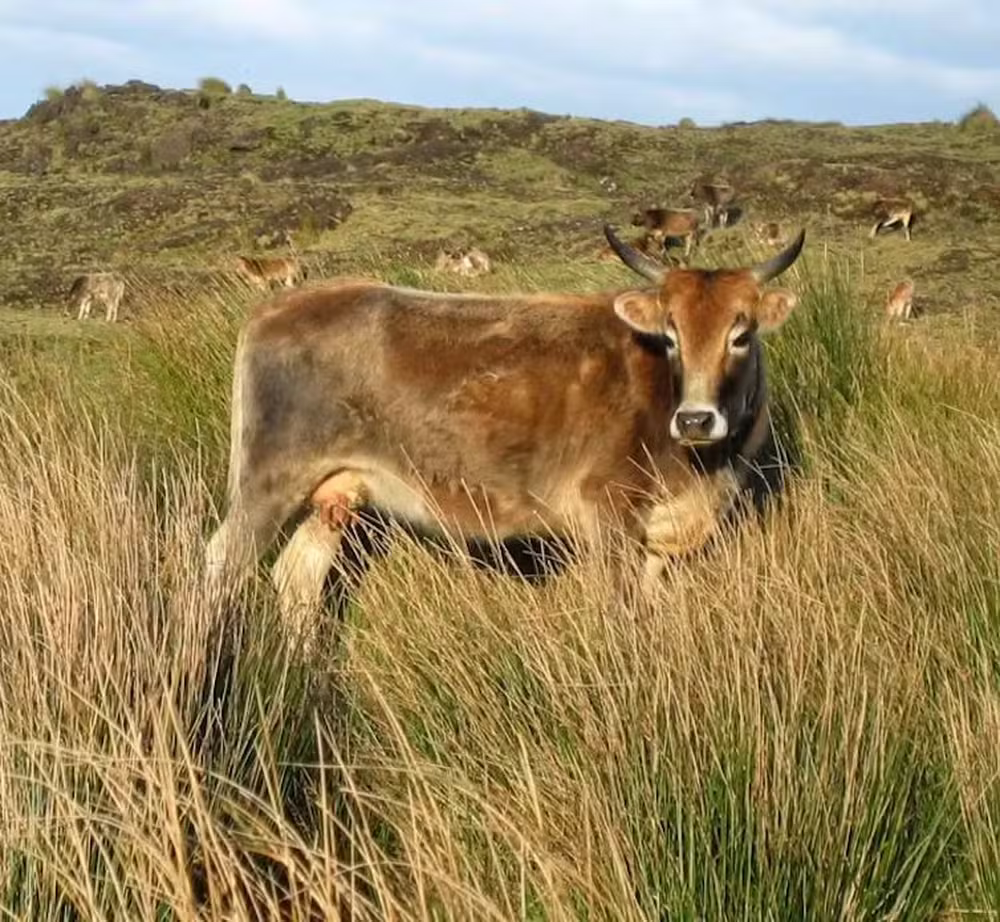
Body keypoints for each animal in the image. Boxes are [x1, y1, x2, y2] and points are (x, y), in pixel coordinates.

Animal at [203, 225, 806, 648]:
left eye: (742, 334)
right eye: (670, 334)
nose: (696, 420)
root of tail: (278, 305)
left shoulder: (659, 537)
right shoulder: (607, 513)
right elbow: (618, 611)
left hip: (335, 494)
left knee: (297, 580)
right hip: (268, 483)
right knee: (221, 566)